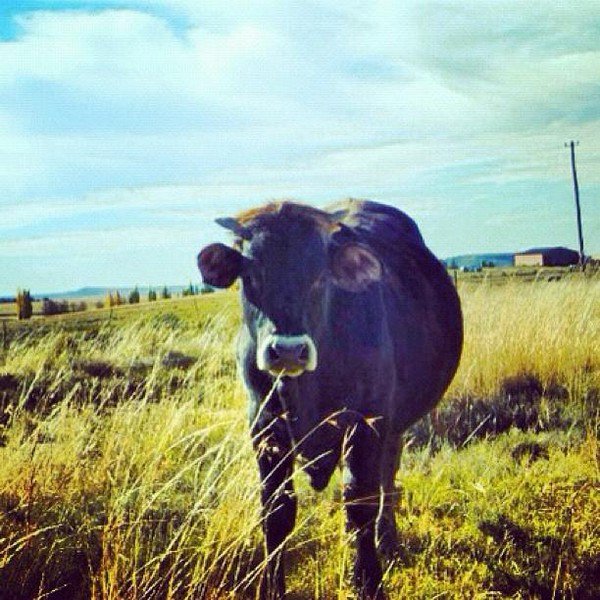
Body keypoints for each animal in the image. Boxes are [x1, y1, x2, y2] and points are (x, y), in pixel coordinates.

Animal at [199, 200, 462, 600]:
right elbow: (276, 509)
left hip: (393, 425)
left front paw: (368, 581)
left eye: (319, 275)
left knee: (385, 479)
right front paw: (273, 586)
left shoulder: (366, 421)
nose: (287, 351)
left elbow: (359, 501)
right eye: (251, 273)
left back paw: (386, 539)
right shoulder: (264, 427)